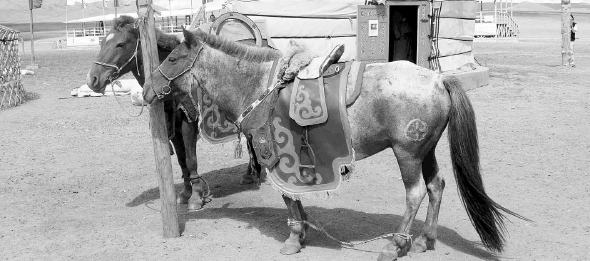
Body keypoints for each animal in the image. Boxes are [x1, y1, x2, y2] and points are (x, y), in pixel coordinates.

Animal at [84, 15, 260, 209]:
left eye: (120, 44)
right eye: (101, 43)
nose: (92, 79)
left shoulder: (189, 122)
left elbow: (191, 160)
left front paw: (196, 196)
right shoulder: (174, 127)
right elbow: (182, 161)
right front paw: (186, 193)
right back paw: (250, 174)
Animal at [142, 29, 528, 260]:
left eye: (172, 58)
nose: (146, 91)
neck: (258, 86)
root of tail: (438, 78)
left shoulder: (275, 157)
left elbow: (288, 197)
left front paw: (294, 239)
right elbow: (296, 197)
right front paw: (303, 232)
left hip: (407, 152)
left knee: (416, 192)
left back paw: (395, 245)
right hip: (426, 150)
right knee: (436, 186)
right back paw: (424, 240)